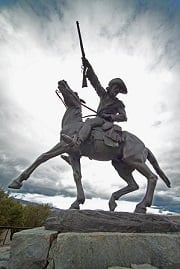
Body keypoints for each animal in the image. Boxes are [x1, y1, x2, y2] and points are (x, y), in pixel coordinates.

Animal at [8, 78, 170, 213]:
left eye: (75, 92)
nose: (62, 81)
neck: (73, 124)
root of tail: (144, 147)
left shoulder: (64, 145)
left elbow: (43, 157)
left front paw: (17, 181)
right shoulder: (74, 154)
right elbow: (77, 175)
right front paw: (77, 202)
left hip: (134, 161)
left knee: (152, 178)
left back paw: (141, 206)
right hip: (120, 165)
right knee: (133, 185)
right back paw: (113, 201)